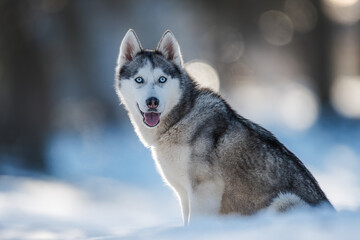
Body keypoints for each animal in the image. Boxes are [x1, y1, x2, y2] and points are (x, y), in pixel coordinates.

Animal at [114, 29, 332, 225]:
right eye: (139, 80)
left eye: (162, 79)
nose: (152, 102)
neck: (181, 118)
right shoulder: (184, 195)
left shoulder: (204, 190)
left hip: (284, 201)